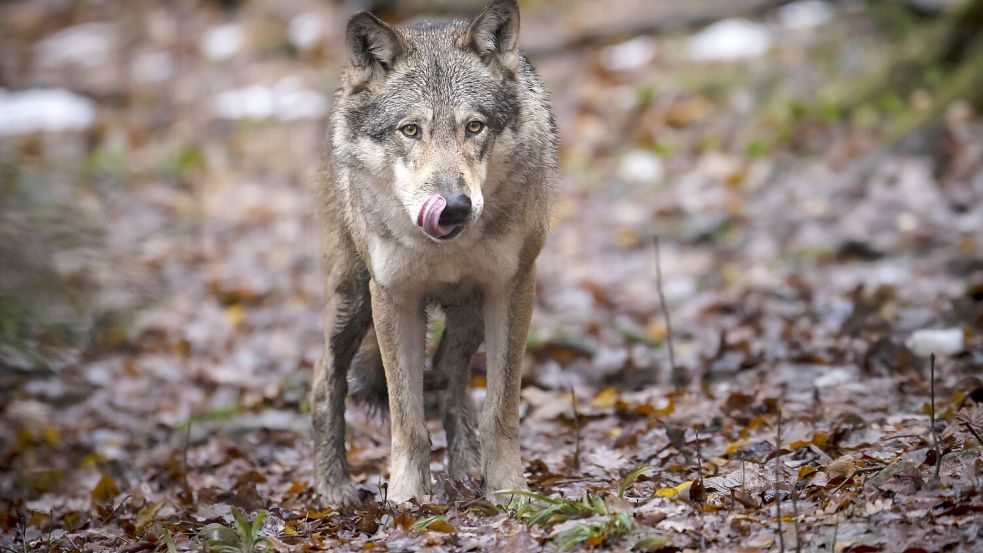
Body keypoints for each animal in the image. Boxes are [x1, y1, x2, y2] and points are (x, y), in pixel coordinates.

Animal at [312, 0, 556, 504]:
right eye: (410, 130)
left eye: (474, 127)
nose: (455, 207)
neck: (447, 249)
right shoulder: (393, 298)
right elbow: (407, 420)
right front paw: (406, 499)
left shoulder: (512, 290)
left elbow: (500, 409)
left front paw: (509, 491)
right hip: (352, 300)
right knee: (323, 381)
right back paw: (333, 487)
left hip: (470, 312)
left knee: (447, 374)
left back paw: (465, 470)